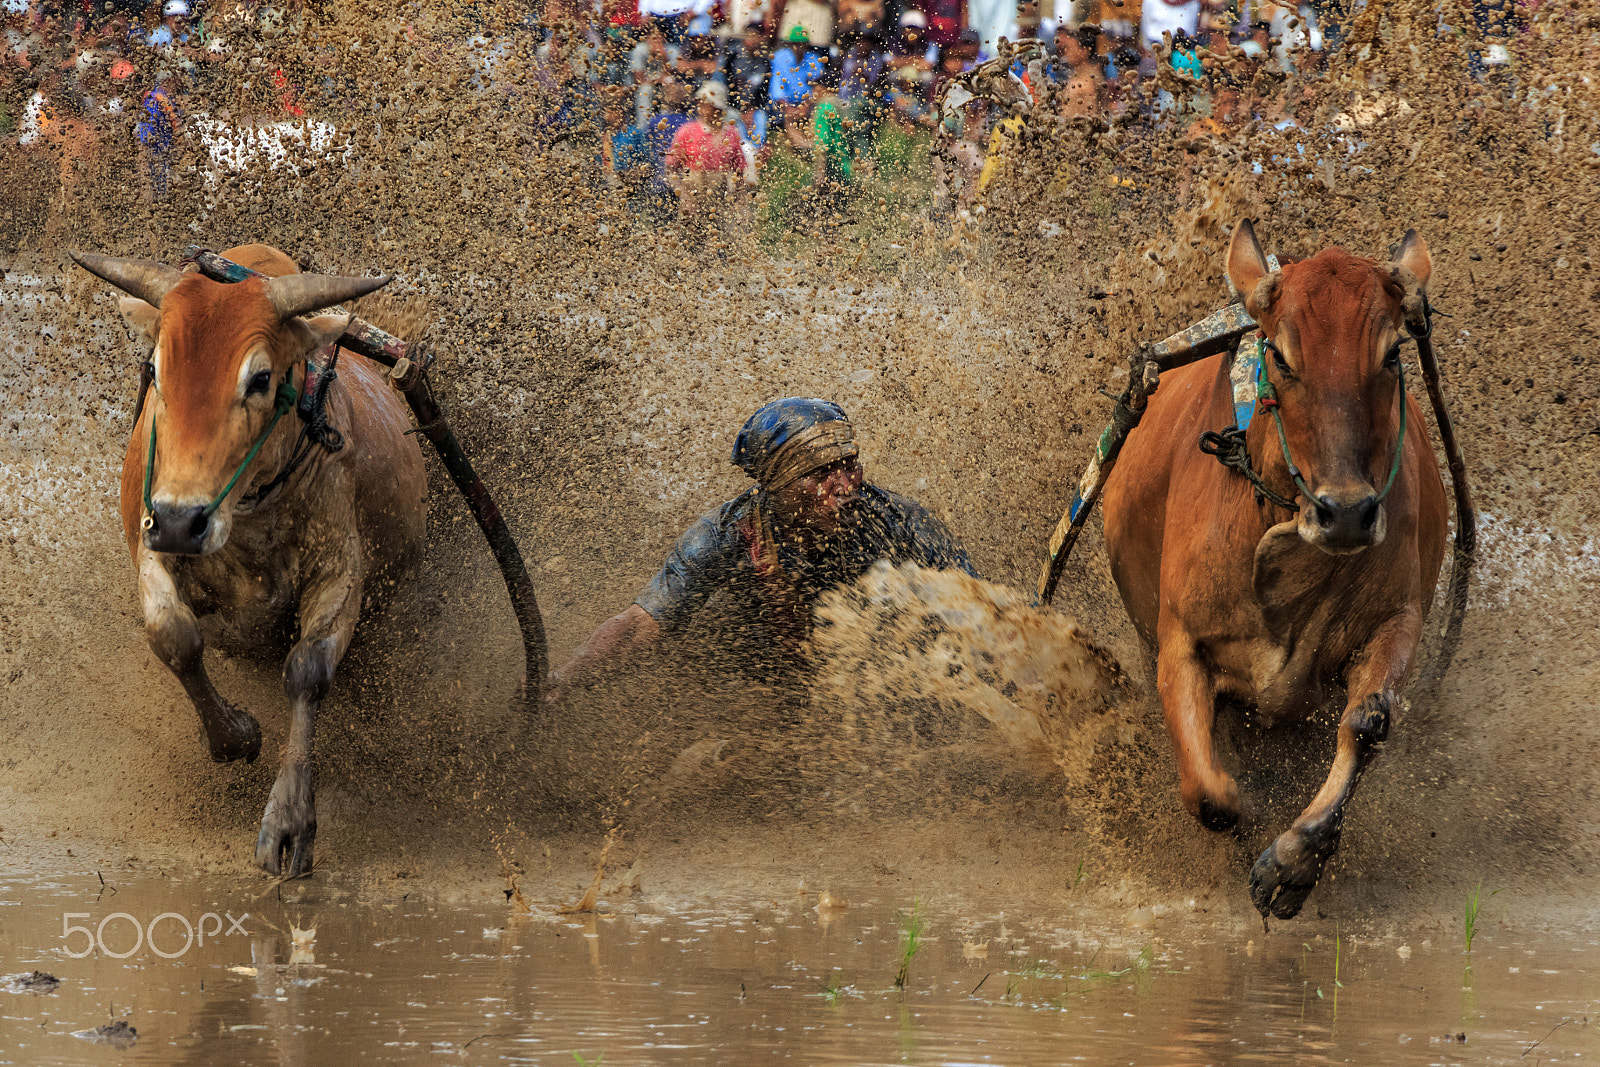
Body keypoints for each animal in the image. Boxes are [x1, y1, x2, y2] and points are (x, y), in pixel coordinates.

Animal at [72, 246, 428, 883]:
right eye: (156, 372)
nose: (182, 521)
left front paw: (288, 822)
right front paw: (234, 736)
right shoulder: (152, 544)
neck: (248, 513)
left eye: (260, 378)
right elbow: (174, 637)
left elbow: (308, 672)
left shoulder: (341, 576)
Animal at [1107, 223, 1446, 921]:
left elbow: (1368, 722)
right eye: (1283, 358)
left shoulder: (1397, 620)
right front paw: (1248, 824)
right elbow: (1210, 795)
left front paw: (1292, 864)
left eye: (1392, 355)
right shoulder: (1179, 643)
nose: (1346, 513)